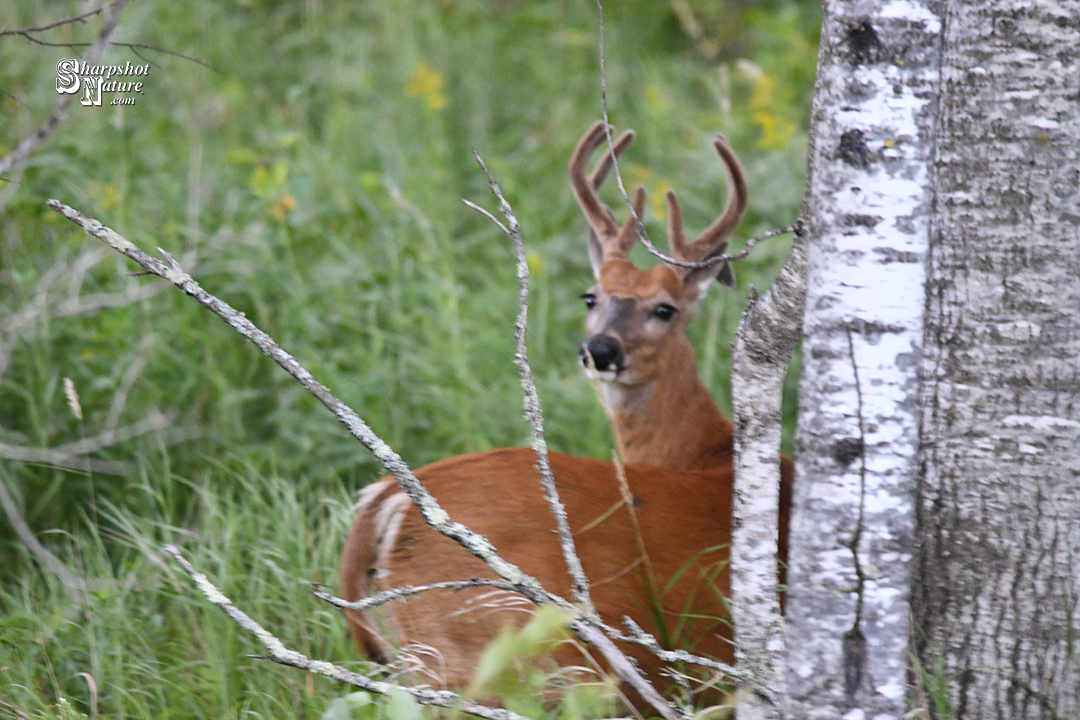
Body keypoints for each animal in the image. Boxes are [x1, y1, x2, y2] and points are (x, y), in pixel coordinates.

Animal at [339, 122, 792, 706]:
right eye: (590, 296)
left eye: (664, 309)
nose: (600, 349)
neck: (707, 452)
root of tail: (385, 501)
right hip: (502, 649)